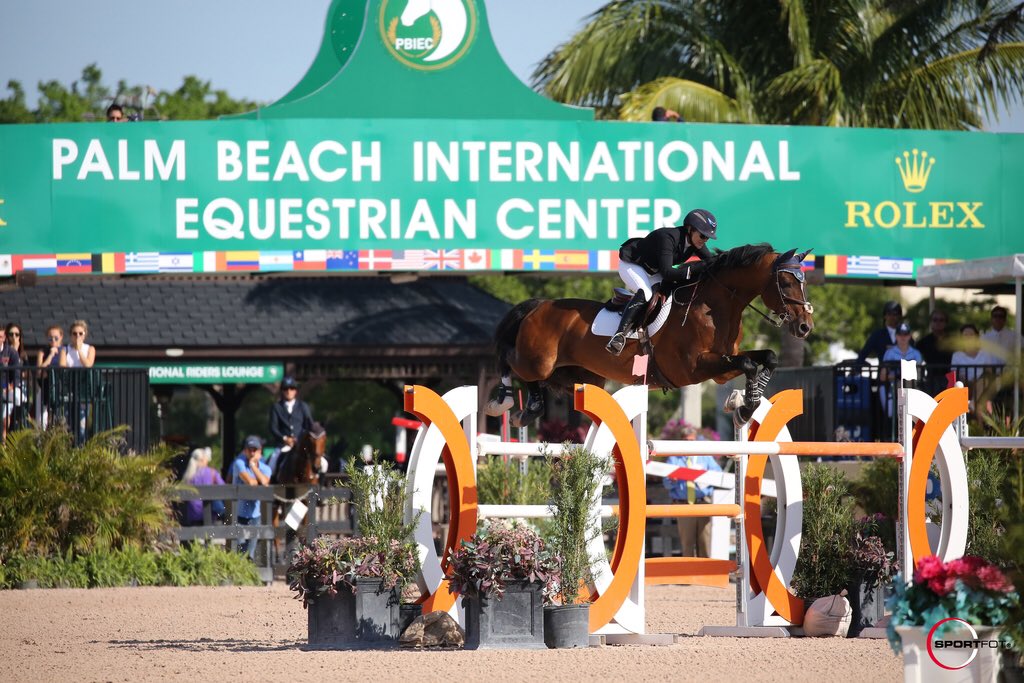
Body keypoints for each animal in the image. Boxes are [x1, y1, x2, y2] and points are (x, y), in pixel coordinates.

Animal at [485, 244, 815, 426]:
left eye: (803, 281)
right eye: (787, 282)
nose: (805, 326)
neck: (715, 305)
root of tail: (539, 305)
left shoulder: (722, 366)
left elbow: (766, 357)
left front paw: (750, 402)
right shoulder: (693, 368)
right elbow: (748, 364)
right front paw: (746, 407)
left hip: (580, 376)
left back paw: (530, 410)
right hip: (537, 360)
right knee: (508, 361)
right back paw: (504, 403)